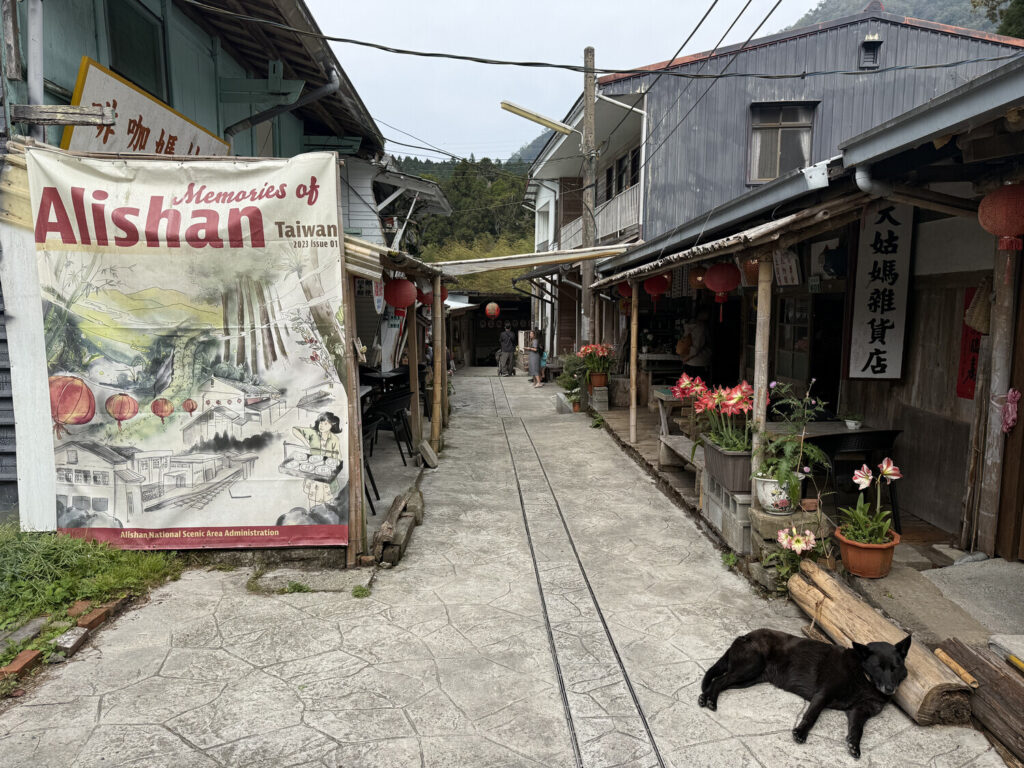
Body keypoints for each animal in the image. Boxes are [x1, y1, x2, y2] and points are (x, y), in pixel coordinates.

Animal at [698, 628, 911, 759]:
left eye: (895, 668)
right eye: (878, 667)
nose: (890, 689)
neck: (863, 678)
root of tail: (745, 635)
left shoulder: (860, 711)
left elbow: (858, 729)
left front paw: (854, 745)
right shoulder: (823, 694)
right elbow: (812, 716)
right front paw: (800, 733)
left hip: (748, 679)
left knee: (721, 682)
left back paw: (705, 697)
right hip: (750, 668)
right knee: (719, 680)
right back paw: (711, 701)